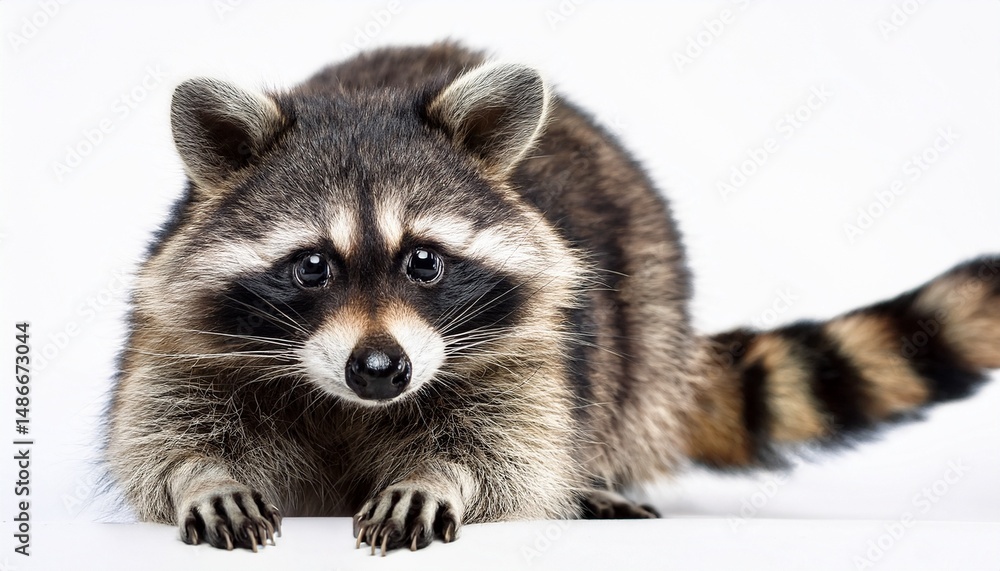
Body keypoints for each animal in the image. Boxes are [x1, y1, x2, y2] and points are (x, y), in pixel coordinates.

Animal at [105, 42, 1000, 554]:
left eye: (424, 262)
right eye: (312, 267)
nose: (380, 369)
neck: (346, 402)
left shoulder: (530, 344)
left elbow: (508, 450)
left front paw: (443, 476)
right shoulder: (176, 332)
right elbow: (158, 430)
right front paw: (199, 473)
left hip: (649, 304)